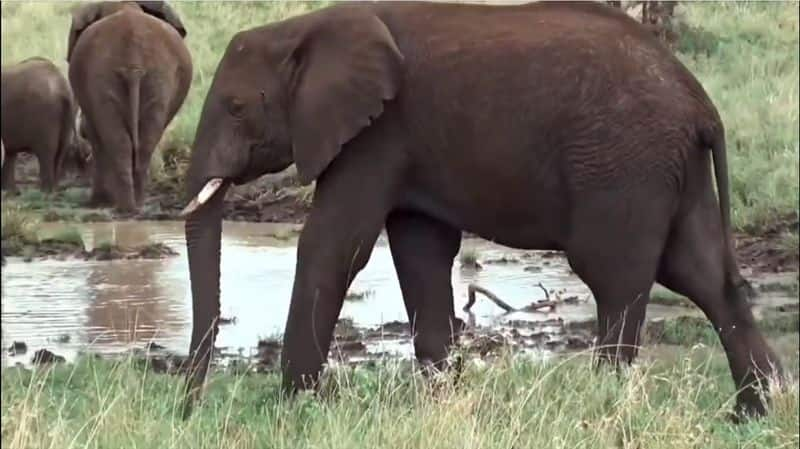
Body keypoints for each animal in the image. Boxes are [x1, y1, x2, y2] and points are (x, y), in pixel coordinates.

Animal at [67, 0, 192, 212]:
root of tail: (134, 63)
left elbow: (94, 133)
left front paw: (102, 202)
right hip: (152, 77)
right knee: (142, 142)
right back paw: (133, 206)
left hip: (110, 76)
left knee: (120, 140)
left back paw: (124, 206)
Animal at [180, 0, 780, 420]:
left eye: (236, 108)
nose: (188, 408)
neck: (302, 25)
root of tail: (701, 103)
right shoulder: (405, 145)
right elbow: (420, 250)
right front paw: (441, 403)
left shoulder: (376, 134)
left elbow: (334, 243)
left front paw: (294, 408)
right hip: (669, 168)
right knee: (703, 275)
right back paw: (754, 414)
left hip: (625, 165)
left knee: (616, 279)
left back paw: (602, 404)